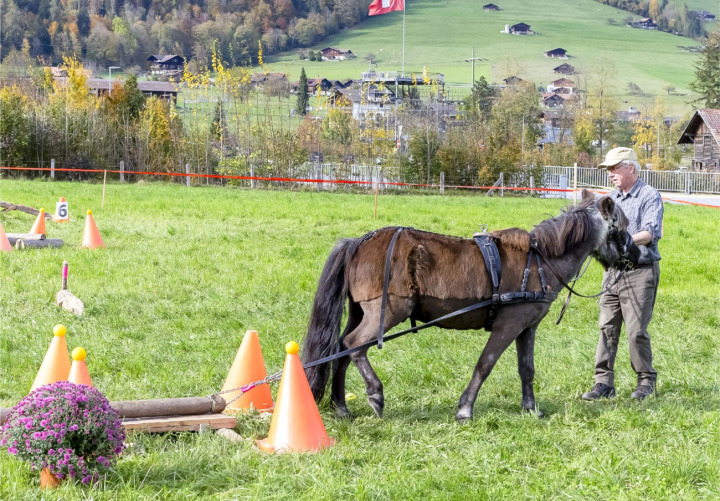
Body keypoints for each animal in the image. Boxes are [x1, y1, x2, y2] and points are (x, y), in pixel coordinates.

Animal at [300, 189, 640, 420]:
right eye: (620, 227)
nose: (637, 256)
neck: (541, 260)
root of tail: (360, 242)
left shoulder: (526, 328)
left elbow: (526, 368)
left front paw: (531, 408)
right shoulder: (507, 325)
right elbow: (485, 364)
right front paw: (465, 408)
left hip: (361, 312)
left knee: (342, 350)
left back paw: (341, 406)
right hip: (387, 313)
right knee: (354, 345)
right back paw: (374, 394)